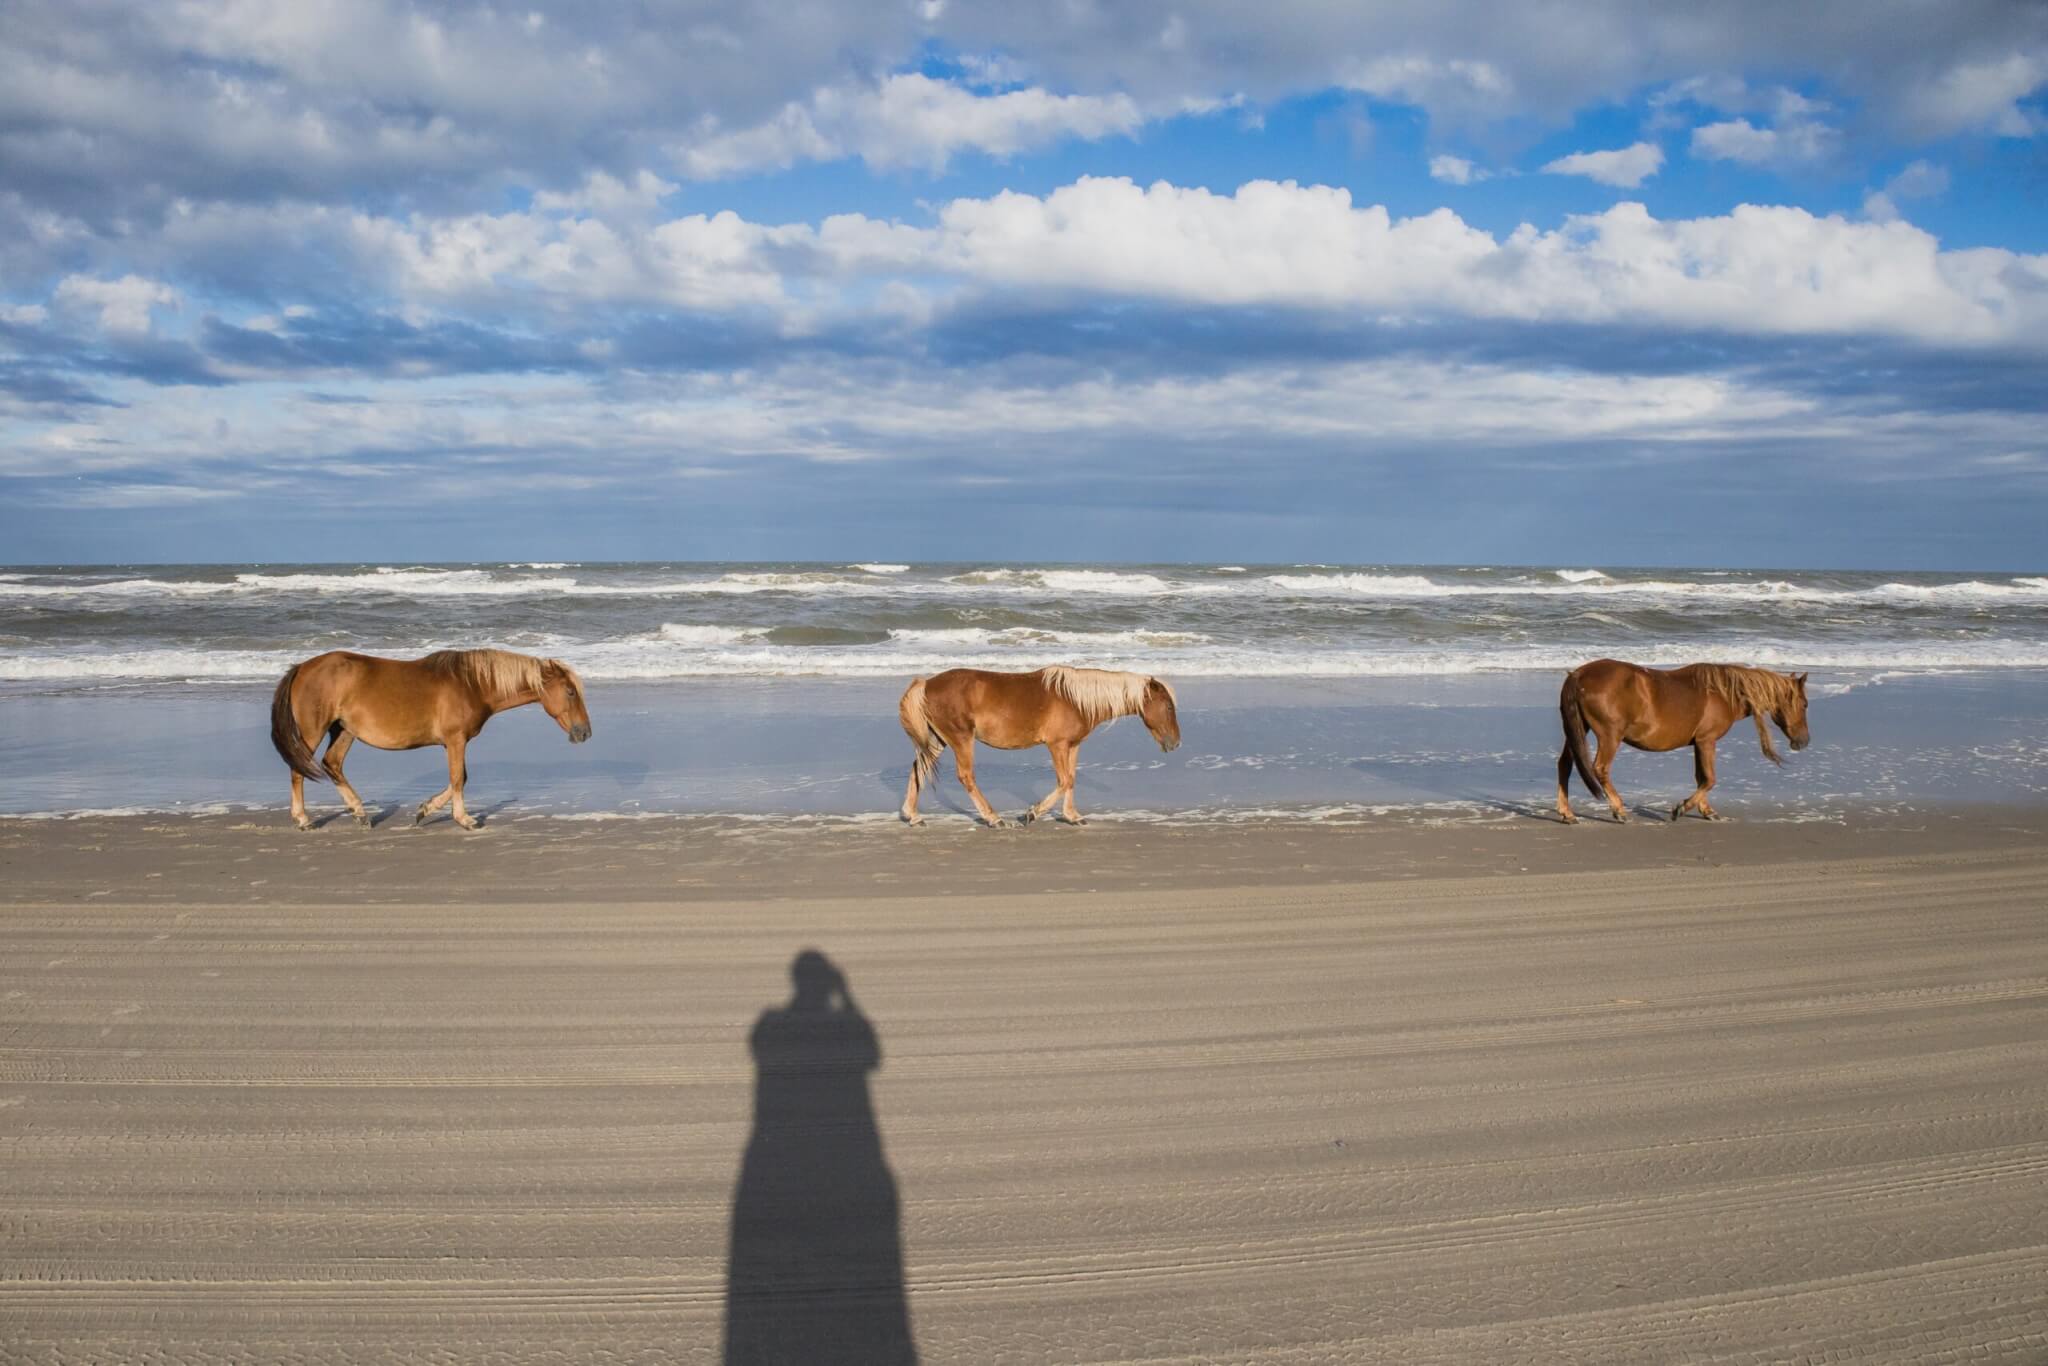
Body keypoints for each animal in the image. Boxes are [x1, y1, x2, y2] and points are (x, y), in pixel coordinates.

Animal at [272, 651, 593, 835]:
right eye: (570, 692)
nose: (585, 733)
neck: (473, 684)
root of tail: (302, 667)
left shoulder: (453, 743)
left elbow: (459, 778)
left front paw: (425, 810)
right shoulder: (456, 740)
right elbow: (458, 779)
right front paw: (464, 819)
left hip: (344, 730)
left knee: (332, 764)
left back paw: (360, 813)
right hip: (313, 731)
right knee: (298, 770)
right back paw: (303, 819)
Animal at [901, 667, 1187, 827]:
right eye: (1168, 706)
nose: (1175, 743)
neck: (1075, 699)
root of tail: (926, 684)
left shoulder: (1072, 745)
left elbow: (1071, 779)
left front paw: (1072, 816)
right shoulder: (1056, 745)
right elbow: (1063, 781)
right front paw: (1031, 814)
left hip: (937, 741)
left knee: (918, 770)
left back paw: (912, 815)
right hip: (961, 739)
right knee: (965, 776)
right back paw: (993, 818)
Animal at [1564, 659, 1810, 823]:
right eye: (1805, 704)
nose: (1804, 741)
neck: (1722, 693)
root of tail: (1579, 674)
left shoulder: (1700, 744)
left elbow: (1701, 778)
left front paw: (1706, 811)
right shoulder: (1707, 741)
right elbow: (1709, 779)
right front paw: (1682, 808)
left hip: (1577, 730)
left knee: (1564, 766)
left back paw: (1567, 813)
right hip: (1610, 736)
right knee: (1600, 768)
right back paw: (1618, 810)